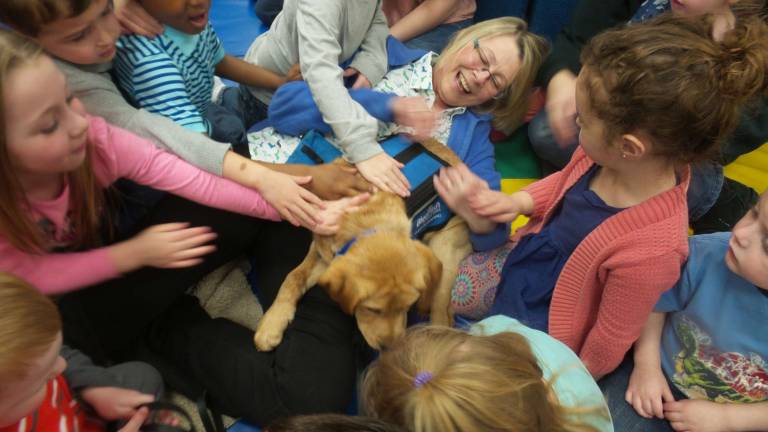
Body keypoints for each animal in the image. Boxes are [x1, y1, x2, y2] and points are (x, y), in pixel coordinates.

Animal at [255, 140, 472, 352]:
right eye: (372, 309)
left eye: (407, 307)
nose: (389, 348)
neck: (361, 222)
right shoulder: (322, 253)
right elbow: (293, 277)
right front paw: (272, 323)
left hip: (442, 247)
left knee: (440, 315)